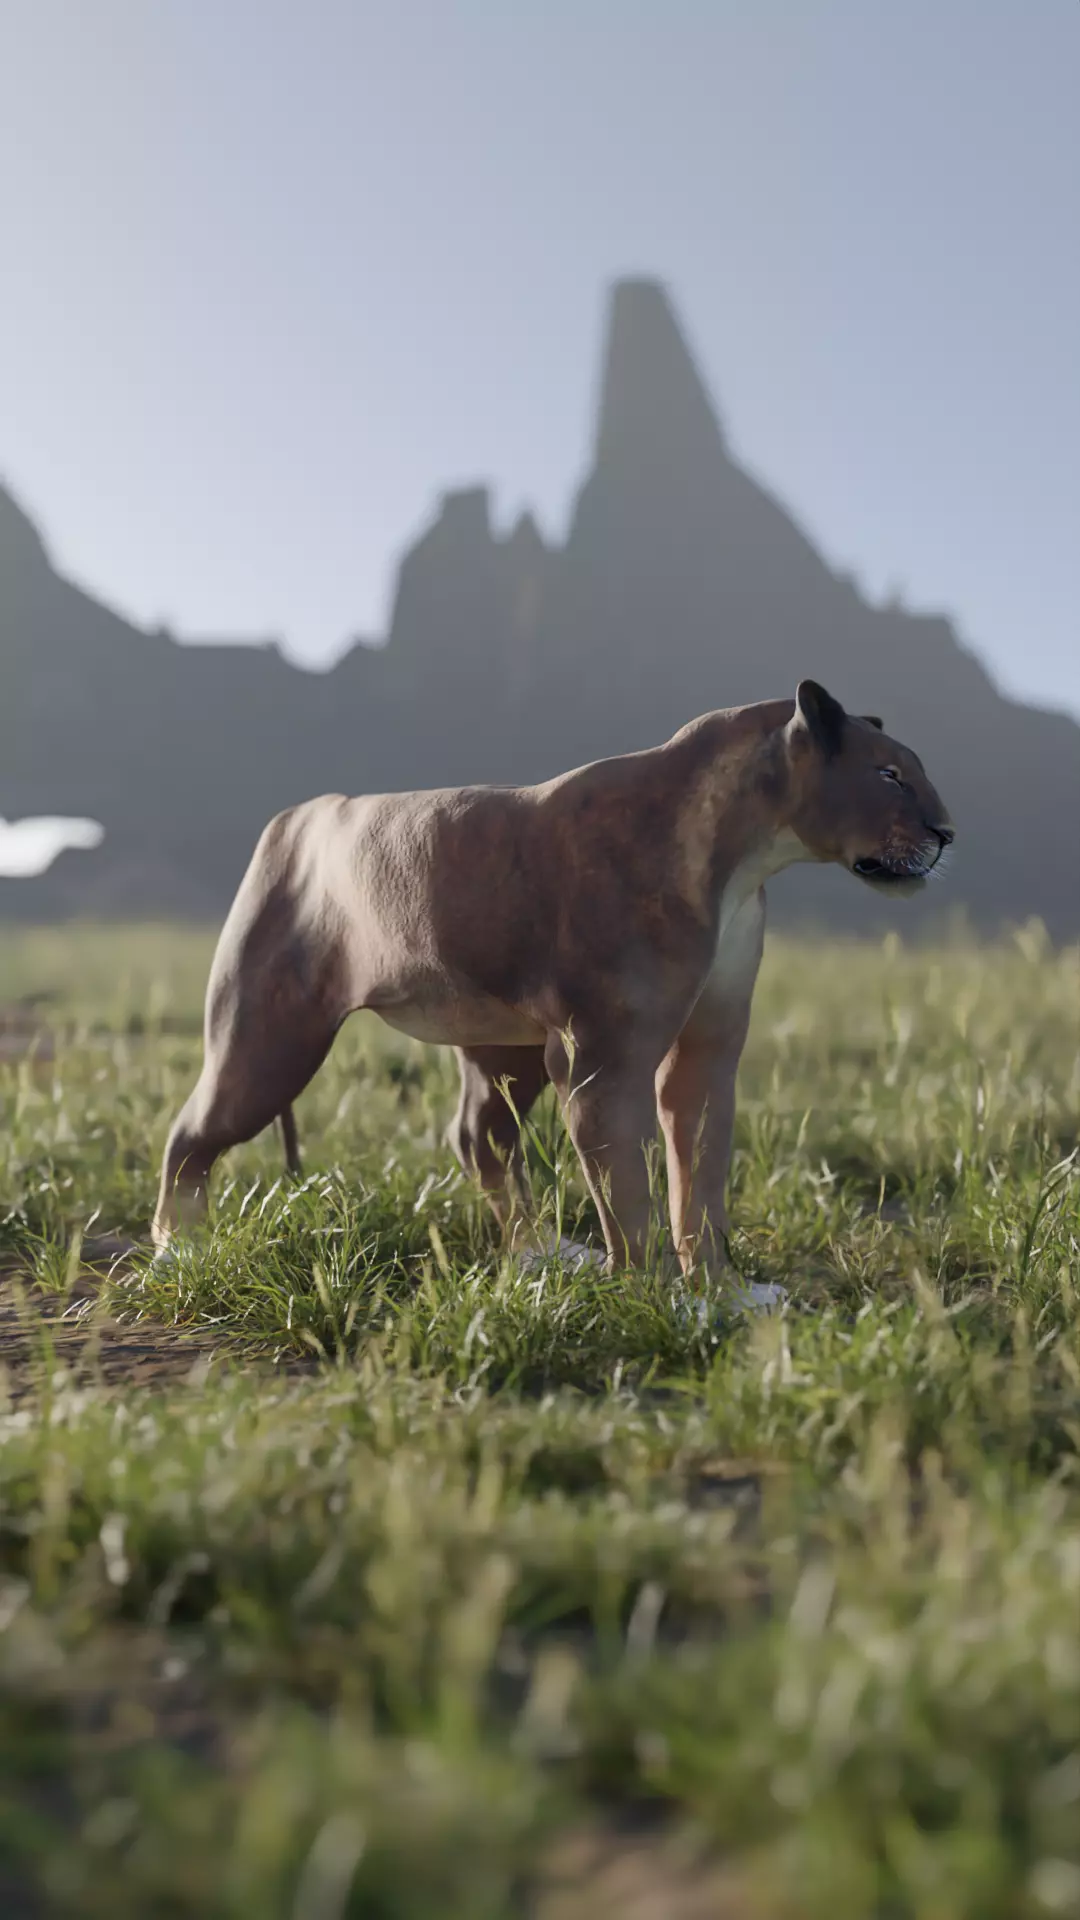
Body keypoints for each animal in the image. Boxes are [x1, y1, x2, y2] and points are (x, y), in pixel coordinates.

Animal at [152, 680, 953, 1279]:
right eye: (887, 773)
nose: (946, 833)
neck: (747, 857)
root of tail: (295, 816)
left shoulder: (705, 1049)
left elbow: (700, 1176)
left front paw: (720, 1290)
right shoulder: (601, 1056)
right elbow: (626, 1184)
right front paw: (648, 1294)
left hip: (504, 1053)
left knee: (479, 1139)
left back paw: (540, 1255)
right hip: (270, 1038)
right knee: (191, 1133)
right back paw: (178, 1250)